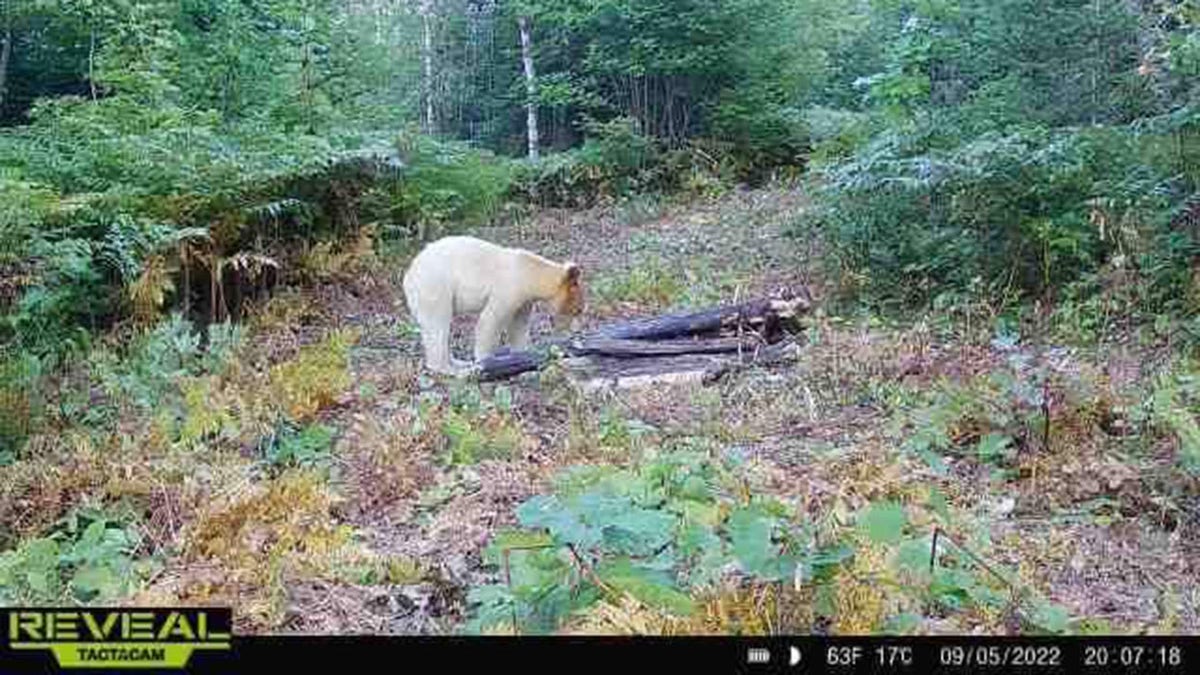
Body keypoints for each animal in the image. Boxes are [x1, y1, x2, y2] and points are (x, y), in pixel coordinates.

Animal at [400, 235, 583, 372]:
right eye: (577, 310)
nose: (576, 331)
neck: (528, 273)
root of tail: (408, 276)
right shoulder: (508, 289)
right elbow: (490, 320)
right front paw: (486, 362)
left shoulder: (524, 299)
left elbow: (519, 325)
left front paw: (523, 353)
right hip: (436, 287)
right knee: (438, 325)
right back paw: (452, 369)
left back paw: (458, 361)